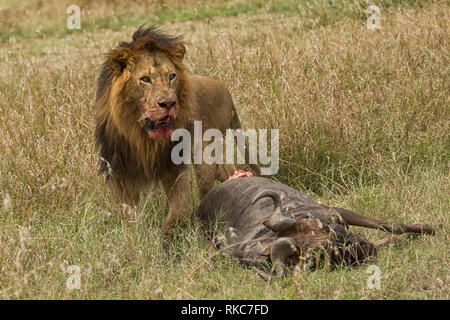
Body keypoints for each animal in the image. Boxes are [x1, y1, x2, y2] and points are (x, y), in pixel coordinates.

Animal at [93, 26, 258, 232]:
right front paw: (132, 233)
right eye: (145, 79)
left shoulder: (173, 165)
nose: (169, 103)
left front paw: (168, 236)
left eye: (171, 76)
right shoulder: (117, 168)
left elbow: (178, 209)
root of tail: (226, 91)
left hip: (205, 152)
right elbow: (127, 214)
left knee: (206, 188)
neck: (142, 137)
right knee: (227, 172)